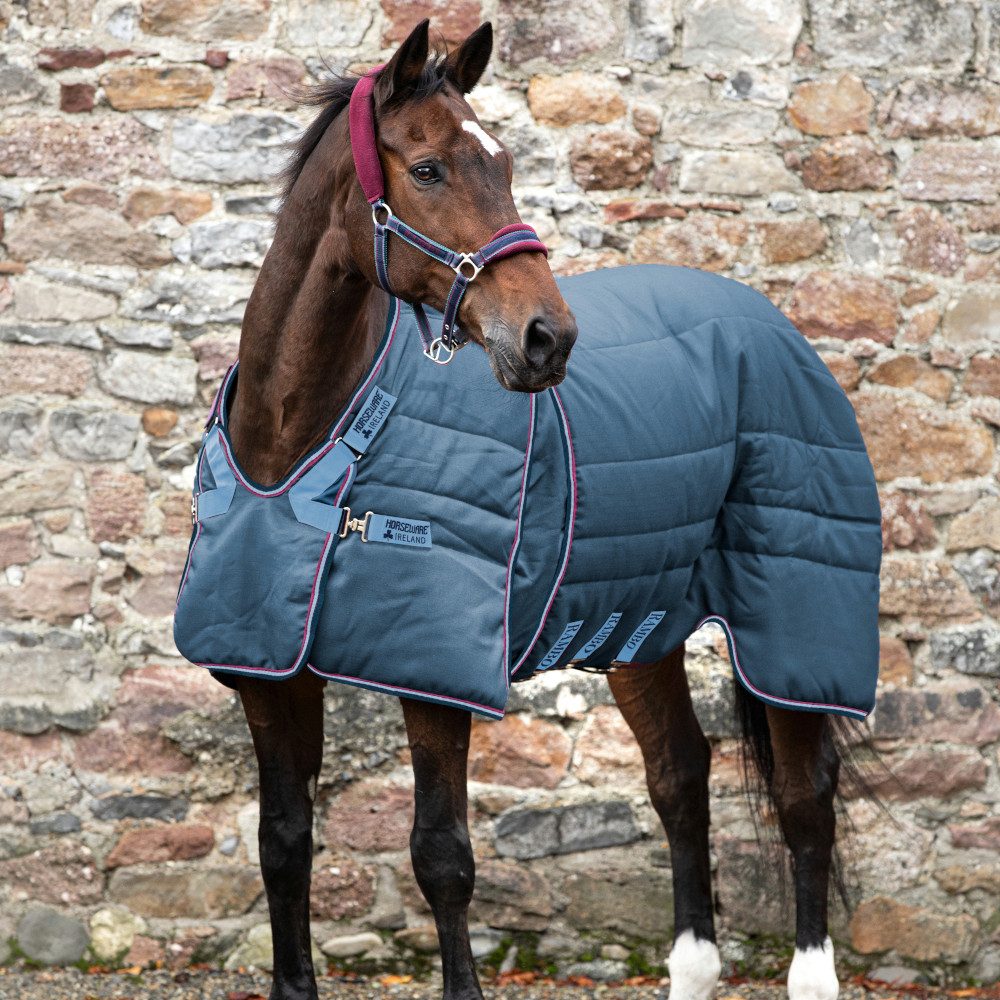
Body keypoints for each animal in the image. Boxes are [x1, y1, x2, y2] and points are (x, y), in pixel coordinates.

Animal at [177, 19, 881, 1000]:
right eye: (428, 168)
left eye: (505, 164)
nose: (549, 338)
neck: (305, 439)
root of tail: (771, 325)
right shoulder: (267, 673)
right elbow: (282, 845)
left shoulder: (433, 675)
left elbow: (442, 858)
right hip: (644, 626)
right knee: (681, 778)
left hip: (794, 617)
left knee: (803, 798)